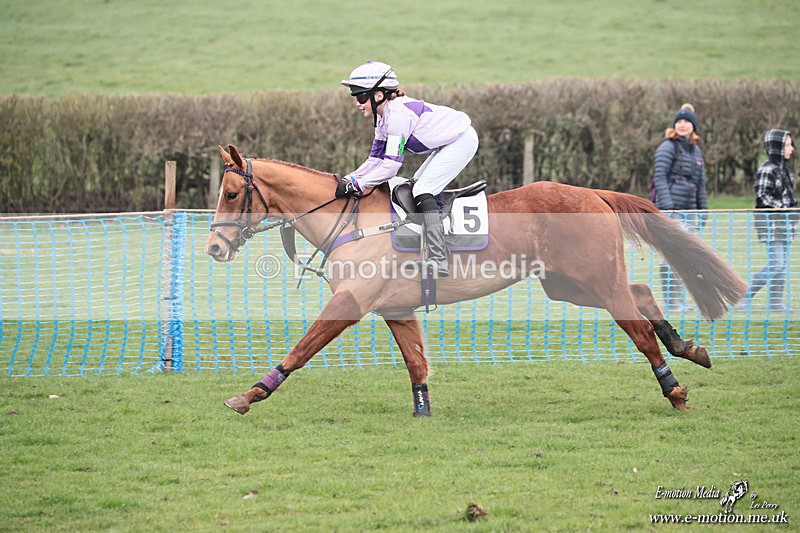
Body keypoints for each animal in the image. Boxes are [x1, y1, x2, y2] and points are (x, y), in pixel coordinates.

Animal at [205, 144, 746, 416]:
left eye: (231, 193)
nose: (213, 248)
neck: (351, 220)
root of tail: (593, 192)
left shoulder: (352, 302)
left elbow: (300, 349)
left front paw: (250, 395)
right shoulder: (395, 307)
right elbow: (416, 363)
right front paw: (423, 411)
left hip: (590, 279)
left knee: (636, 327)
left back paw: (673, 387)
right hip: (567, 284)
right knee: (642, 293)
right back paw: (687, 348)